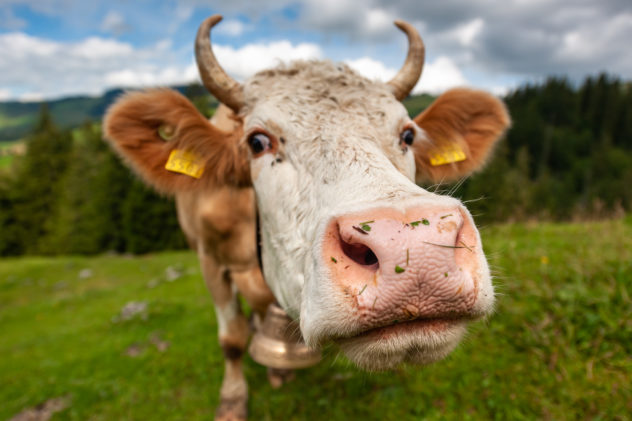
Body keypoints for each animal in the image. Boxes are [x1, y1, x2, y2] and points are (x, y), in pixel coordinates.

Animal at [103, 14, 508, 418]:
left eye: (407, 135)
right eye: (257, 141)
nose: (414, 251)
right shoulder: (209, 259)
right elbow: (231, 339)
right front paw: (232, 401)